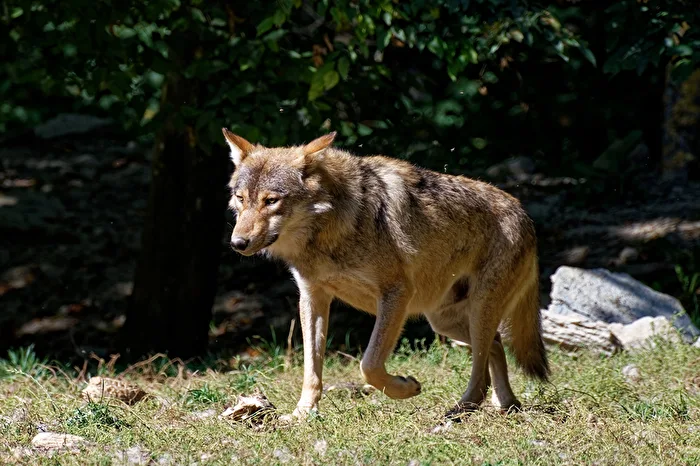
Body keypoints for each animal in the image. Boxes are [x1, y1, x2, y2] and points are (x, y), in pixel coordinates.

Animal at [222, 128, 549, 419]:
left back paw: (460, 410)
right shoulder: (312, 297)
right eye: (241, 198)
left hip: (477, 311)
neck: (330, 228)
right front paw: (302, 414)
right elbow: (311, 370)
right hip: (444, 321)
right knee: (496, 345)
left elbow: (369, 364)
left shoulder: (396, 294)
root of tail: (525, 214)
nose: (237, 243)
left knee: (481, 368)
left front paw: (405, 388)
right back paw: (504, 404)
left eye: (271, 200)